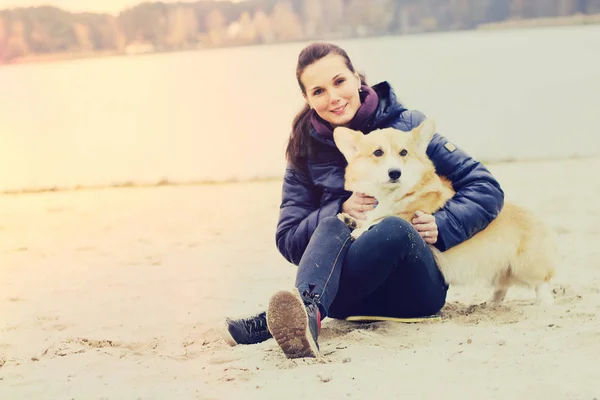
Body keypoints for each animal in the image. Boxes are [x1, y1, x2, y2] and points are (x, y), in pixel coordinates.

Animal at [332, 120, 556, 304]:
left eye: (403, 153)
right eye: (378, 153)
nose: (395, 173)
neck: (388, 195)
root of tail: (538, 220)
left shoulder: (413, 217)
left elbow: (387, 218)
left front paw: (360, 229)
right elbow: (368, 218)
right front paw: (351, 220)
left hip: (526, 266)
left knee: (542, 282)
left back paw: (544, 304)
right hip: (500, 270)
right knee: (502, 287)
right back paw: (491, 304)